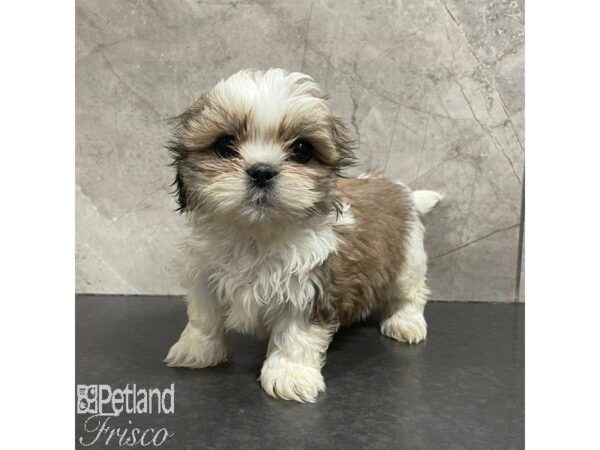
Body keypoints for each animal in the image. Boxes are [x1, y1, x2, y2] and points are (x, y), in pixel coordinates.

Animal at [164, 68, 440, 402]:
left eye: (302, 150)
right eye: (225, 145)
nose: (261, 171)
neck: (256, 235)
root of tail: (400, 190)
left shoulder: (311, 287)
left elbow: (296, 334)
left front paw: (289, 374)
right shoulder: (204, 274)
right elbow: (204, 316)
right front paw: (196, 349)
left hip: (408, 258)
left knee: (410, 293)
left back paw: (405, 322)